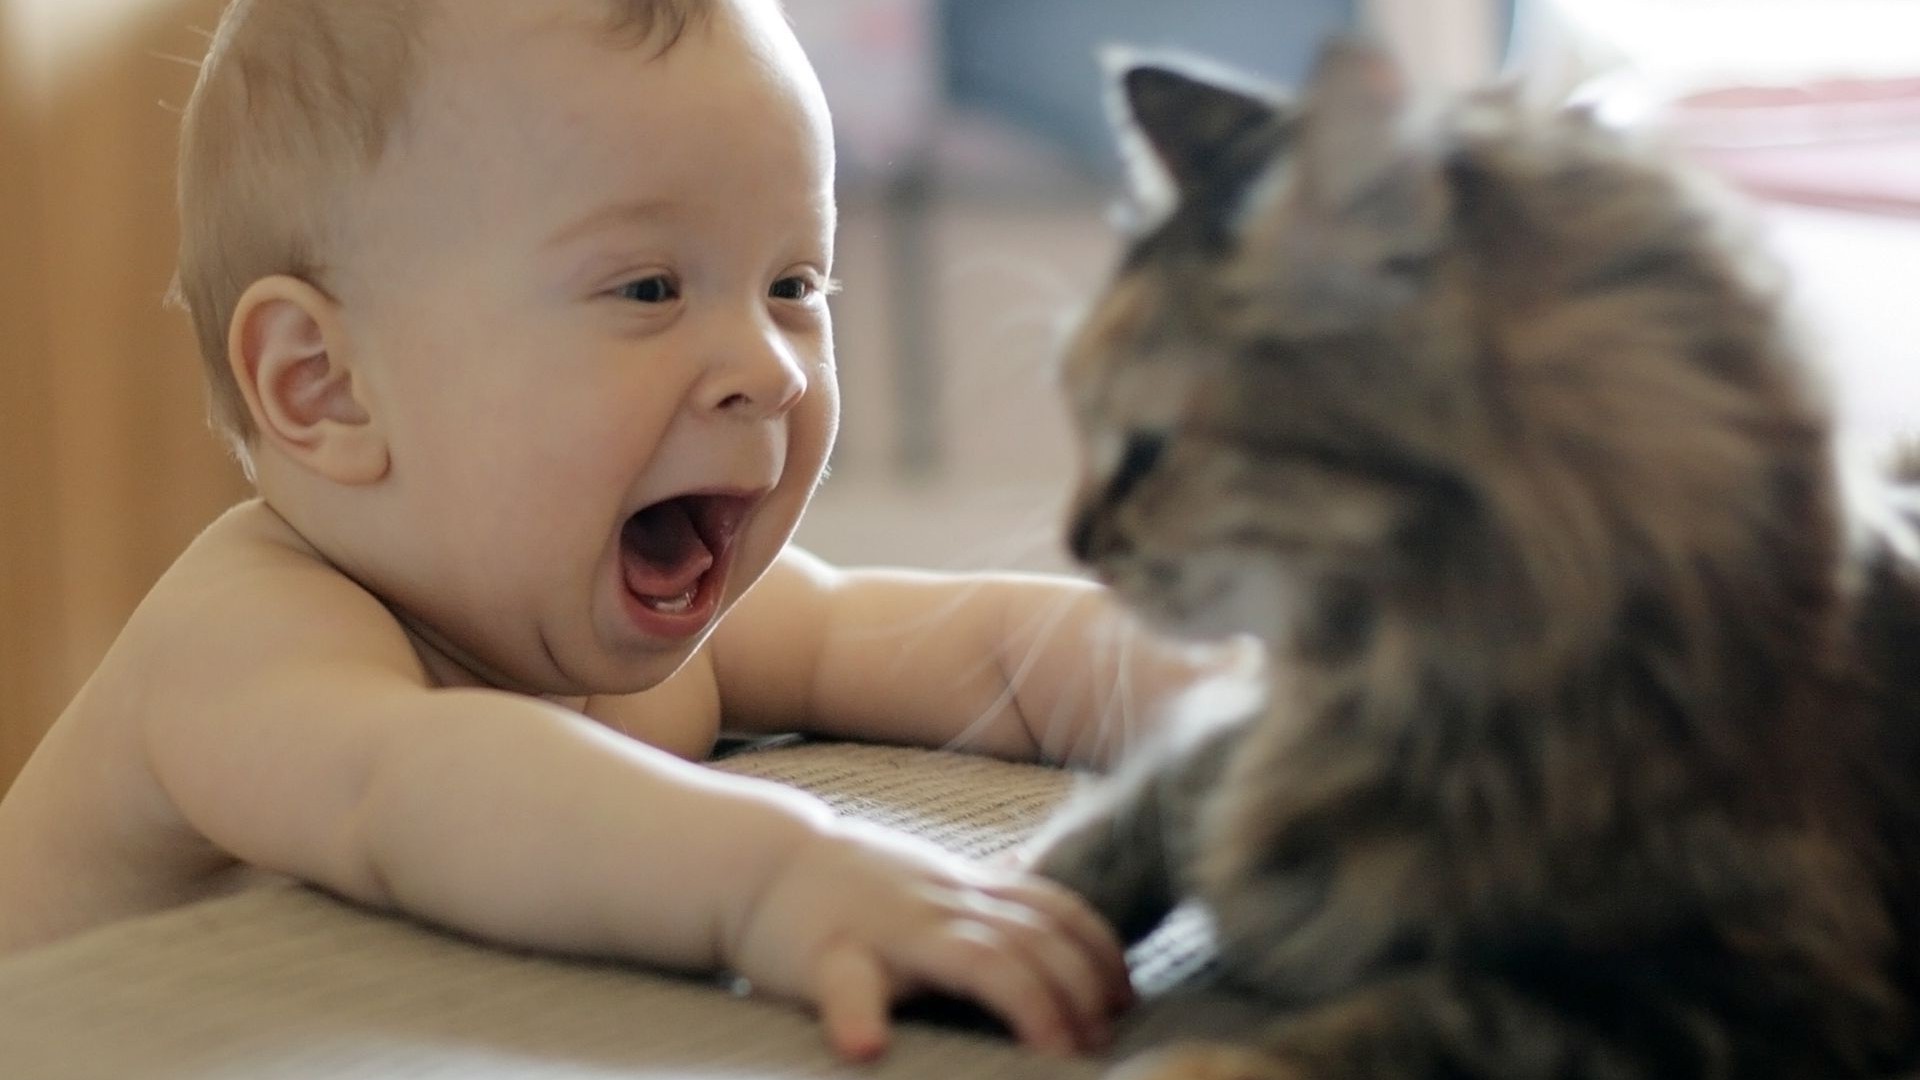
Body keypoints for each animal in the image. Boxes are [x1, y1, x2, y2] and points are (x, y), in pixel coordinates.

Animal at [1036, 37, 1920, 1076]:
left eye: (1145, 451)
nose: (1076, 544)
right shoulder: (1233, 744)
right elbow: (1131, 817)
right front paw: (1008, 918)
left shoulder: (1769, 1001)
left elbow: (1433, 1006)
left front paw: (1203, 1057)